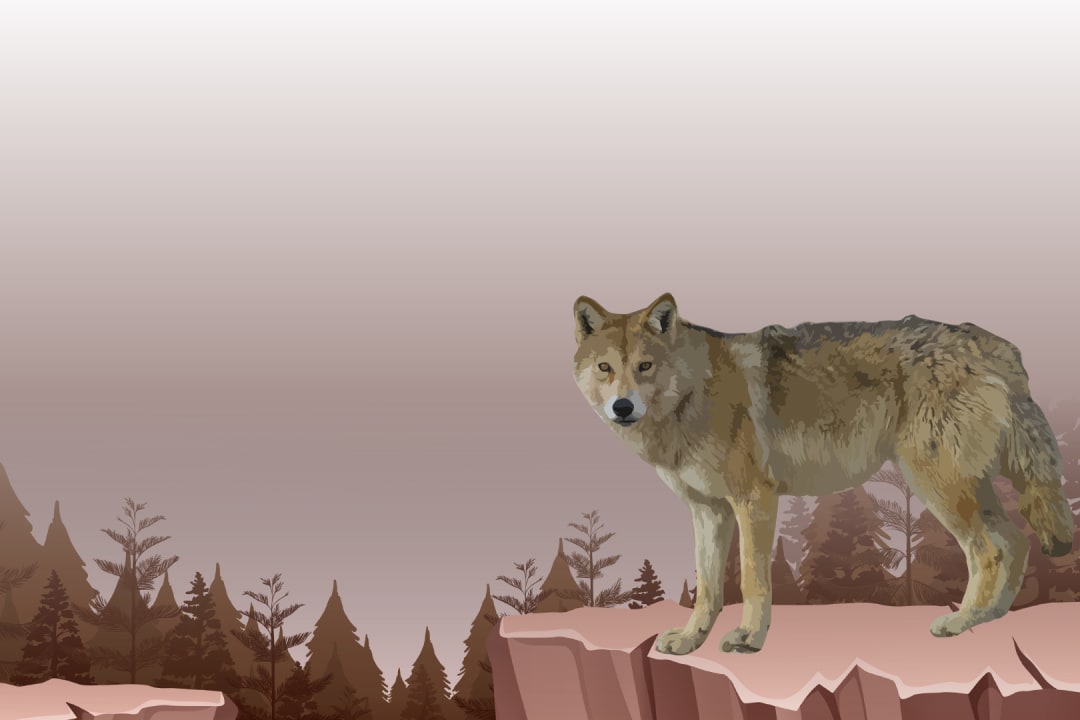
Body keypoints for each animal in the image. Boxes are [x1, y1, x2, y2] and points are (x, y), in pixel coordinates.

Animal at [572, 293, 1074, 654]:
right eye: (605, 368)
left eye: (645, 366)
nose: (622, 407)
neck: (695, 392)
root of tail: (997, 345)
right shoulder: (708, 511)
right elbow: (708, 587)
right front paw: (691, 640)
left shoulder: (753, 500)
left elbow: (752, 580)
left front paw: (748, 639)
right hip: (966, 488)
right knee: (1017, 542)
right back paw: (991, 619)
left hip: (938, 487)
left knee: (988, 552)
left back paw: (960, 622)